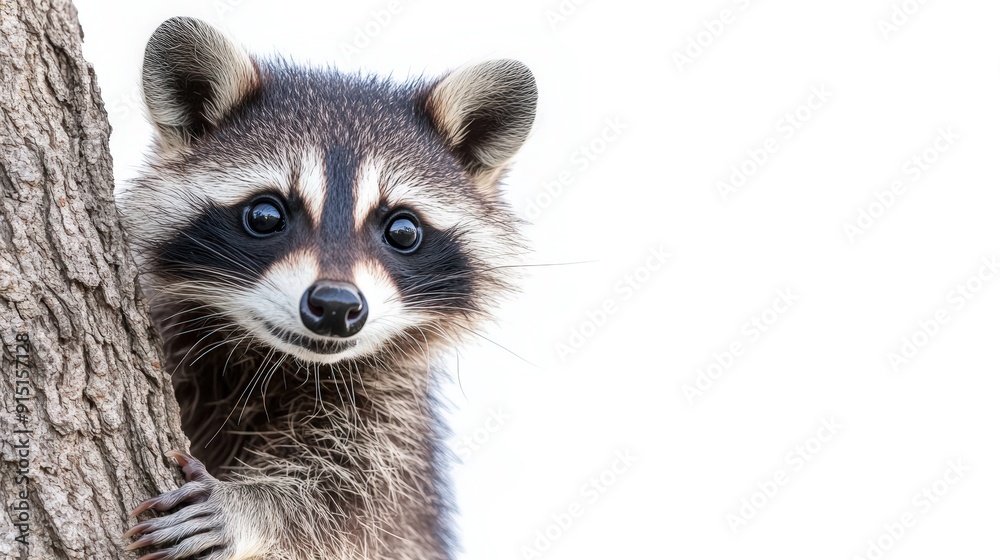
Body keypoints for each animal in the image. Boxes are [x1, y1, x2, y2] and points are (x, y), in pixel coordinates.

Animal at [116, 17, 536, 560]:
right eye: (265, 215)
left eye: (403, 231)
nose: (336, 306)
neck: (276, 361)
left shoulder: (391, 426)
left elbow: (347, 506)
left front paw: (250, 507)